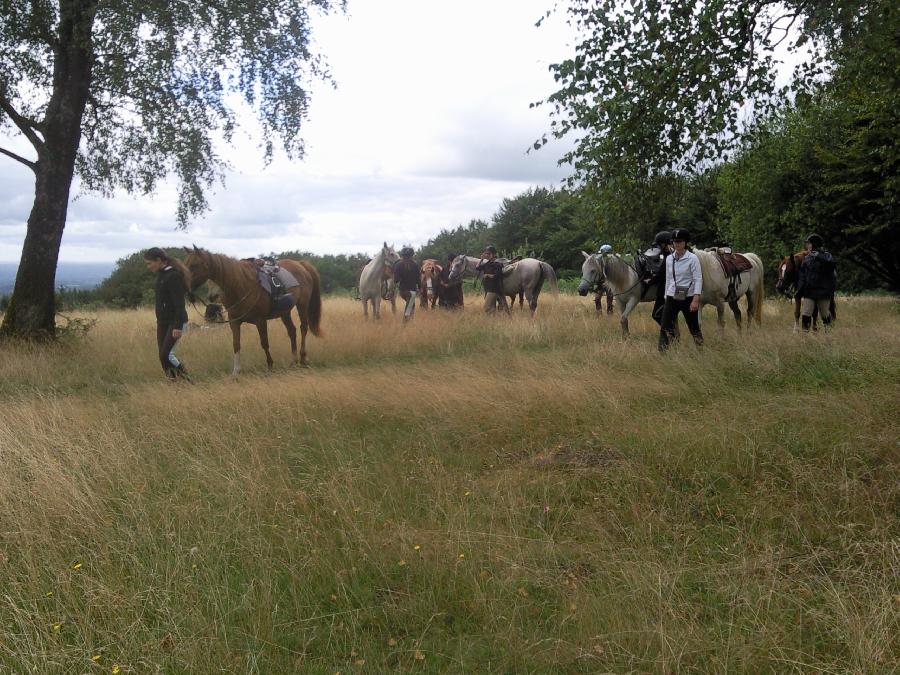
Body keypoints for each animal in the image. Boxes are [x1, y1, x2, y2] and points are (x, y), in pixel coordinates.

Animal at [185, 247, 322, 378]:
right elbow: (236, 344)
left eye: (195, 265)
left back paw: (303, 358)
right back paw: (293, 361)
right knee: (292, 331)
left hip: (302, 305)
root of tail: (301, 264)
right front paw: (236, 371)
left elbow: (264, 343)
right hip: (285, 312)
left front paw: (270, 365)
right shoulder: (234, 321)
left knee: (303, 328)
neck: (242, 285)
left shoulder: (260, 321)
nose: (213, 296)